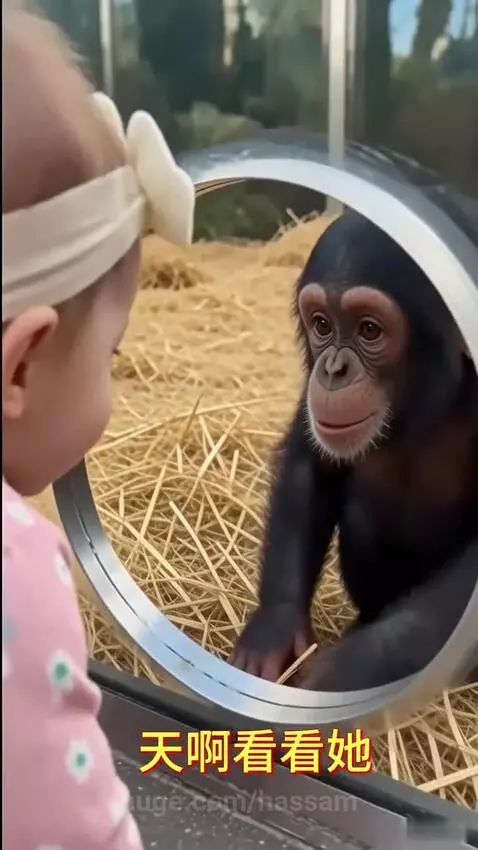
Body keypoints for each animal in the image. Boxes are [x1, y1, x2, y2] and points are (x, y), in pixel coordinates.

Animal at [230, 210, 478, 691]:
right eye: (322, 325)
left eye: (369, 329)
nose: (333, 369)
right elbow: (311, 460)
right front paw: (274, 629)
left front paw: (338, 677)